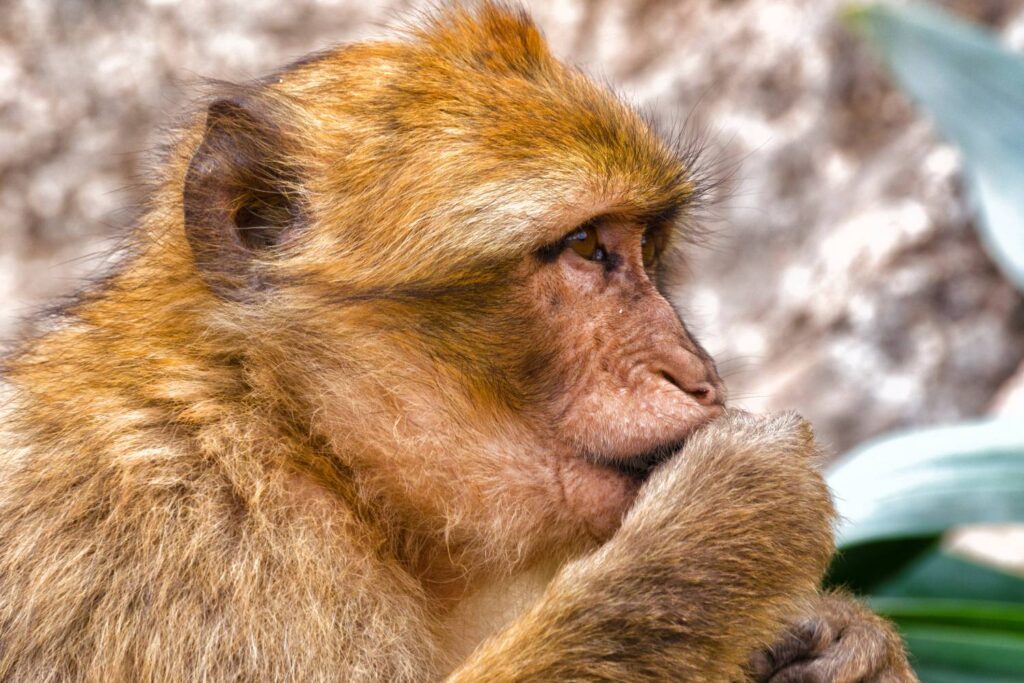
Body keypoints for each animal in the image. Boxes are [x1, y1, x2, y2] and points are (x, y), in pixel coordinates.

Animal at [0, 5, 913, 683]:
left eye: (646, 250)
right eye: (588, 247)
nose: (697, 374)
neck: (297, 429)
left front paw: (845, 640)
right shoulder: (182, 531)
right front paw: (723, 528)